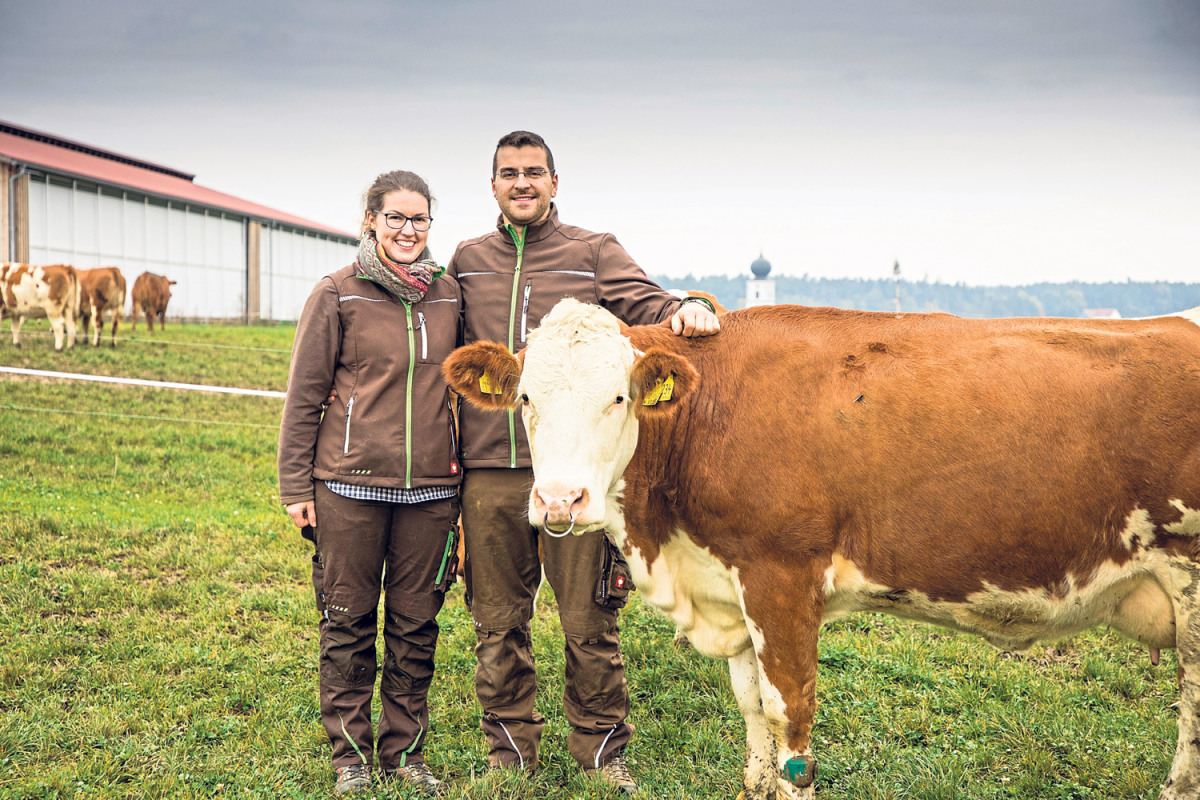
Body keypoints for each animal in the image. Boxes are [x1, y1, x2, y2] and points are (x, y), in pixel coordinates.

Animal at [446, 298, 1200, 800]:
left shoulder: (781, 577)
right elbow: (750, 703)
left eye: (618, 398)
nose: (560, 502)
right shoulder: (732, 581)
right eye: (525, 398)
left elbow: (789, 714)